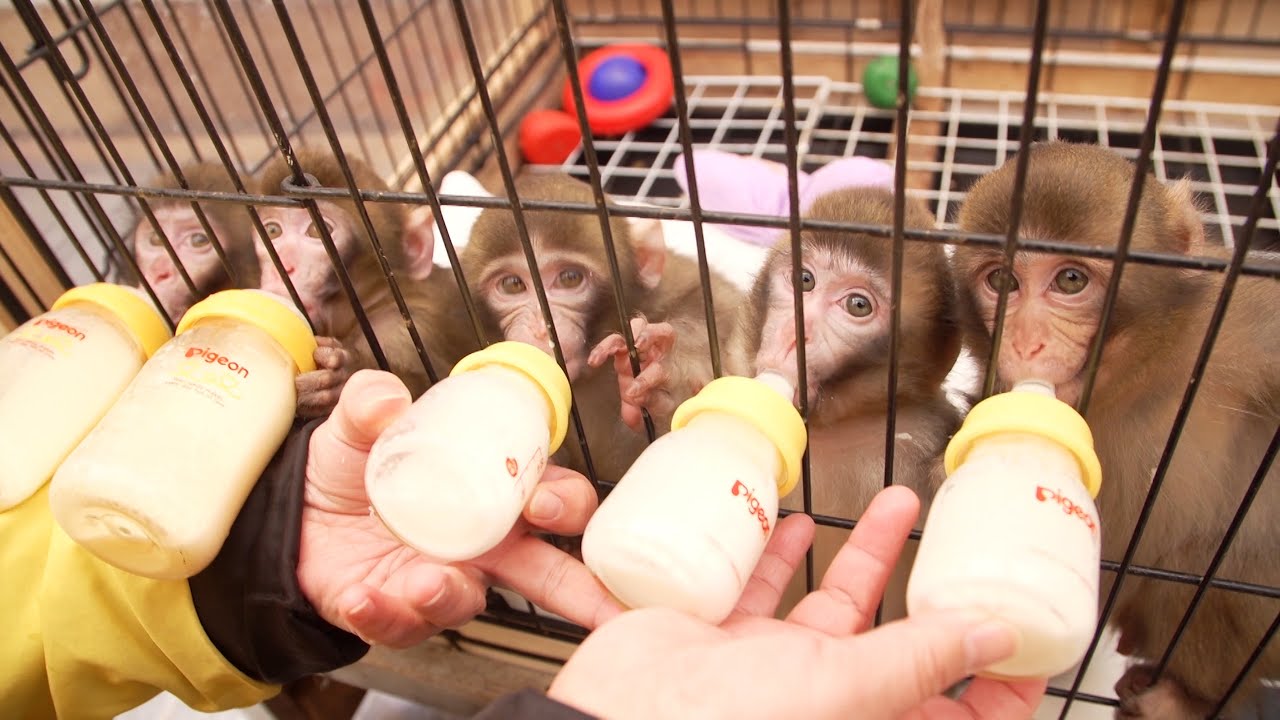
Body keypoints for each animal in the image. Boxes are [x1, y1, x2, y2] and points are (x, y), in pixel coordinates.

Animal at [954, 140, 1279, 719]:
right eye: (1002, 282)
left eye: (1071, 280)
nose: (1026, 342)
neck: (1133, 380)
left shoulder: (1245, 326)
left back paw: (1182, 697)